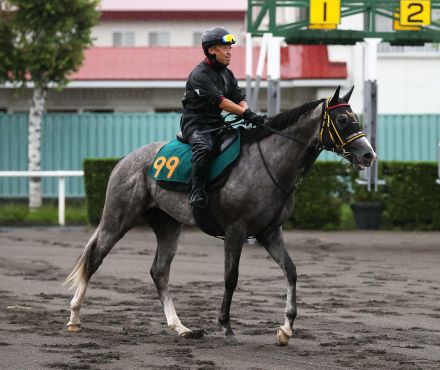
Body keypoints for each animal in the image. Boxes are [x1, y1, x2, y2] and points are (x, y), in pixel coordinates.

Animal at [64, 86, 374, 344]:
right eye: (343, 120)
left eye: (355, 118)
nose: (368, 155)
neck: (269, 164)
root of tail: (125, 161)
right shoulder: (236, 230)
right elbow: (231, 277)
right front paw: (226, 325)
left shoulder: (269, 232)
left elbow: (291, 271)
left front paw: (286, 328)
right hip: (117, 220)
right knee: (94, 259)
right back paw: (74, 317)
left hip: (168, 226)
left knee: (159, 271)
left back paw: (181, 327)